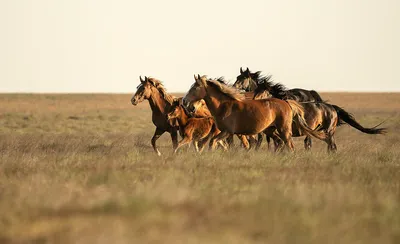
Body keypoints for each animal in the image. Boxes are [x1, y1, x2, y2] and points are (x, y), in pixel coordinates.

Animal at [183, 75, 326, 151]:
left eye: (195, 87)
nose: (184, 101)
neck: (224, 105)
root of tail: (286, 103)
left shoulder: (228, 131)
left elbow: (213, 142)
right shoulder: (227, 133)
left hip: (284, 130)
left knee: (290, 146)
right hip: (271, 130)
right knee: (280, 142)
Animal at [253, 81, 388, 152]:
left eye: (263, 91)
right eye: (255, 90)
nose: (254, 100)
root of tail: (332, 108)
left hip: (329, 131)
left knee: (331, 146)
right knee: (331, 146)